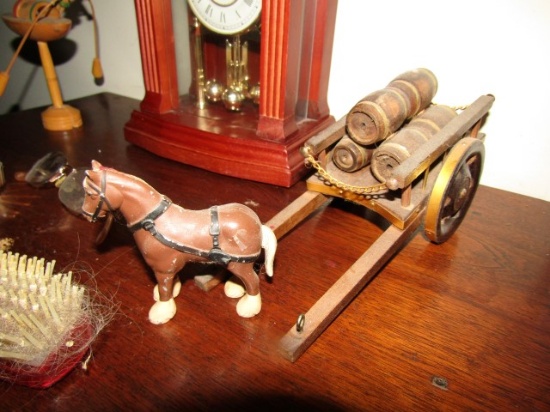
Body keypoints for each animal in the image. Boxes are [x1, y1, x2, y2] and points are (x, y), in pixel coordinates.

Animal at [82, 161, 278, 326]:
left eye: (90, 194)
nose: (85, 214)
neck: (152, 223)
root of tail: (258, 224)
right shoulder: (170, 265)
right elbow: (172, 282)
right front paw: (172, 291)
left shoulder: (162, 269)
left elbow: (164, 289)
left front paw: (162, 311)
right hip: (235, 262)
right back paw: (235, 287)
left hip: (239, 264)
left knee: (252, 281)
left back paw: (249, 306)